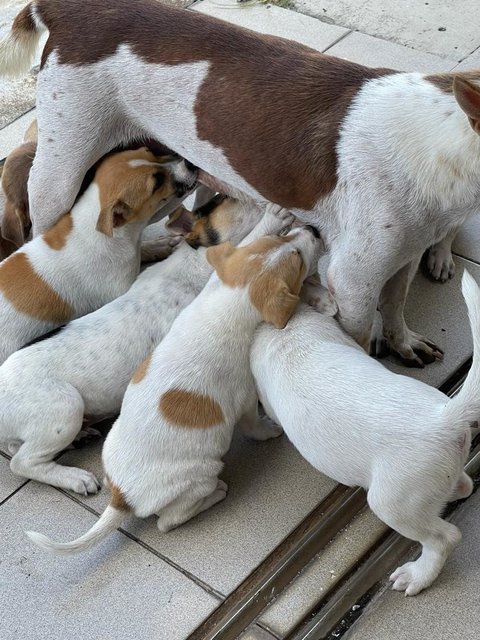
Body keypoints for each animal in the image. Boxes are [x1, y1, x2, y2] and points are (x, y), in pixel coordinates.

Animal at [27, 206, 326, 556]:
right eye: (298, 259)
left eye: (280, 239)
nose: (313, 230)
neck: (227, 303)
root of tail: (121, 498)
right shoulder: (244, 397)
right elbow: (254, 424)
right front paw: (270, 430)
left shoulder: (220, 274)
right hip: (193, 471)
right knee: (167, 521)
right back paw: (214, 494)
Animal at [249, 274, 480, 596]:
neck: (287, 330)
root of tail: (444, 419)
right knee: (463, 487)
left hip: (392, 503)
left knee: (444, 538)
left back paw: (417, 576)